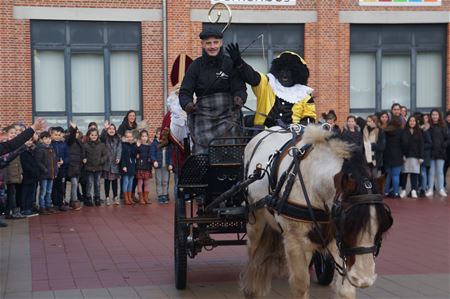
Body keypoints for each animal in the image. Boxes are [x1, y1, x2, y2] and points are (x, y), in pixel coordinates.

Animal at [241, 126, 392, 299]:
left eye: (383, 225)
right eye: (347, 224)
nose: (364, 279)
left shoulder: (338, 242)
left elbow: (345, 291)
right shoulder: (296, 242)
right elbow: (300, 286)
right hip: (255, 221)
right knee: (253, 252)